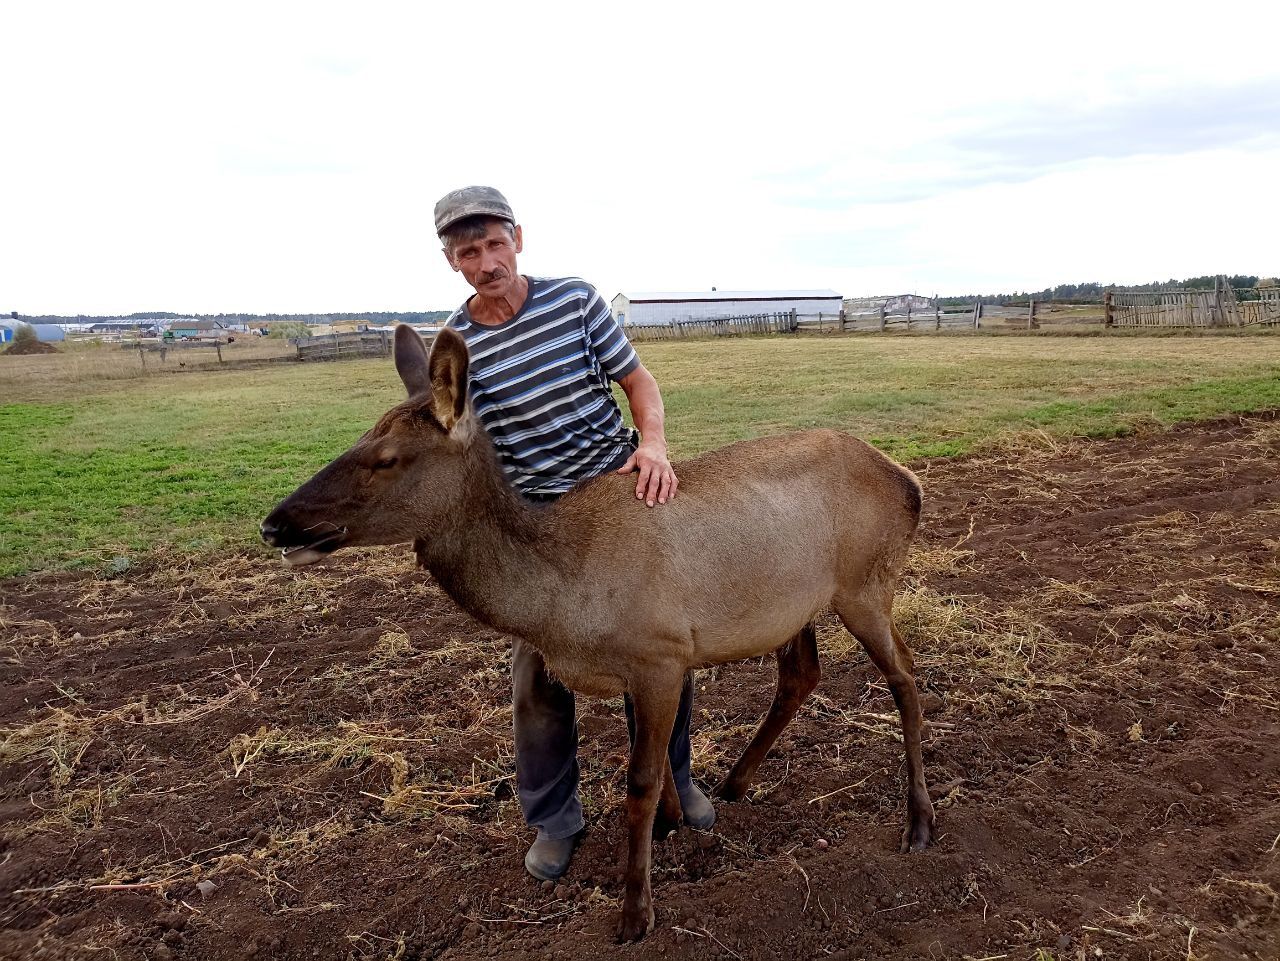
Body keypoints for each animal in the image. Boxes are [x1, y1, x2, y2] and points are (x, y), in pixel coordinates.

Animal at [262, 327, 942, 941]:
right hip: (792, 606)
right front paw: (672, 829)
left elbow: (638, 780)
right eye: (360, 437)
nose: (275, 524)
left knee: (906, 676)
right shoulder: (641, 665)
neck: (562, 600)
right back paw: (736, 782)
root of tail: (911, 481)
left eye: (387, 458)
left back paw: (919, 823)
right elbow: (650, 760)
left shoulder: (661, 653)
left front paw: (635, 912)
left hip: (866, 585)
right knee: (801, 675)